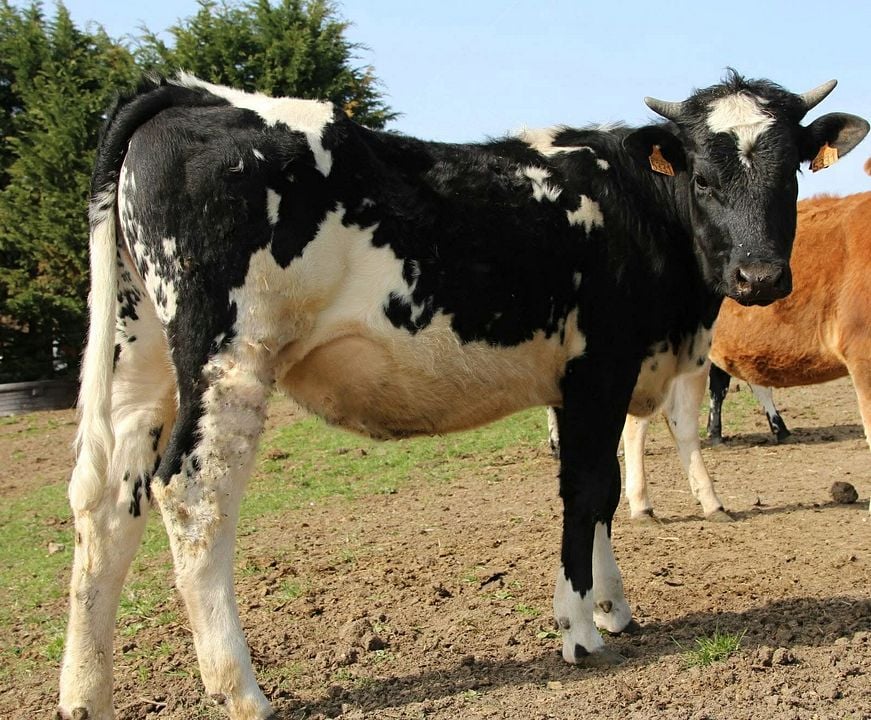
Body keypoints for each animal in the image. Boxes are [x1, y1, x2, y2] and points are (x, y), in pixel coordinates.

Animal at [58, 72, 868, 720]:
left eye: (791, 174)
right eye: (701, 178)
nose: (759, 278)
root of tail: (191, 92)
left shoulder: (588, 384)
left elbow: (602, 496)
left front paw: (612, 606)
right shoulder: (598, 368)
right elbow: (586, 490)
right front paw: (580, 628)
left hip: (142, 355)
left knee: (107, 501)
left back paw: (84, 693)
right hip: (230, 356)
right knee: (193, 494)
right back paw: (241, 690)